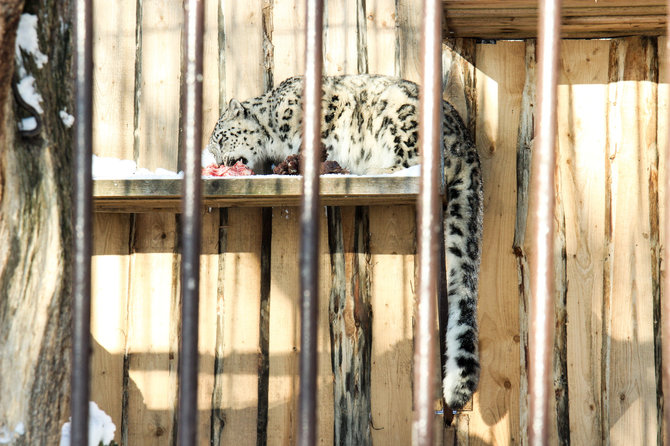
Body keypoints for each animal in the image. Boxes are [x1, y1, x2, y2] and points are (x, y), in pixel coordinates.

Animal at [207, 74, 486, 412]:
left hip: (403, 125)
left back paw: (373, 169)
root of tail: (467, 142)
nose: (218, 162)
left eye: (220, 139)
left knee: (415, 163)